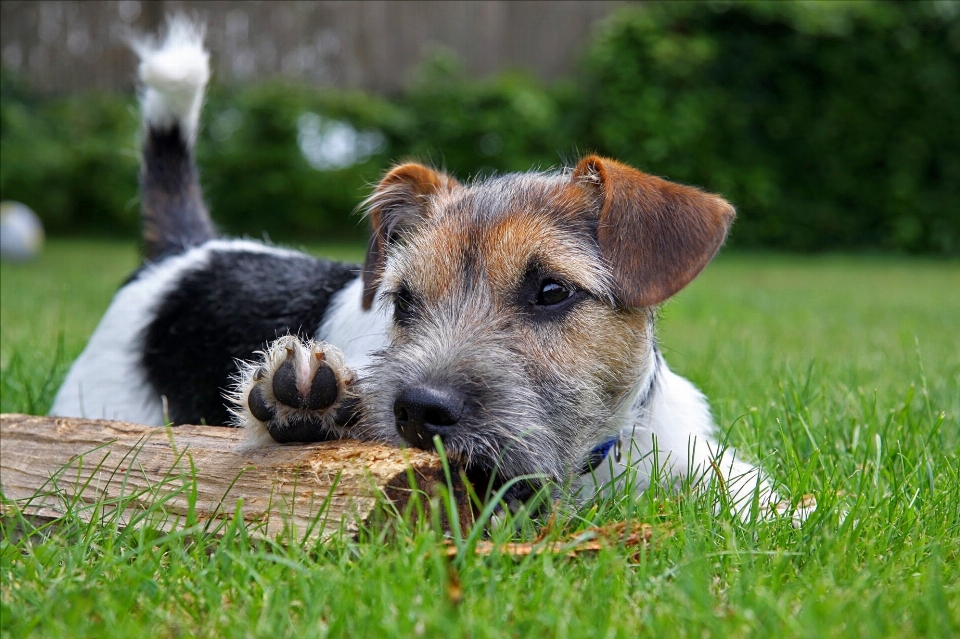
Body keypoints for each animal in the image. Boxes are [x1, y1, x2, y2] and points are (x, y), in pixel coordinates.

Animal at [48, 18, 792, 520]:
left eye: (551, 290)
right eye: (403, 302)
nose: (419, 410)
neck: (586, 466)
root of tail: (182, 251)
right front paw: (303, 404)